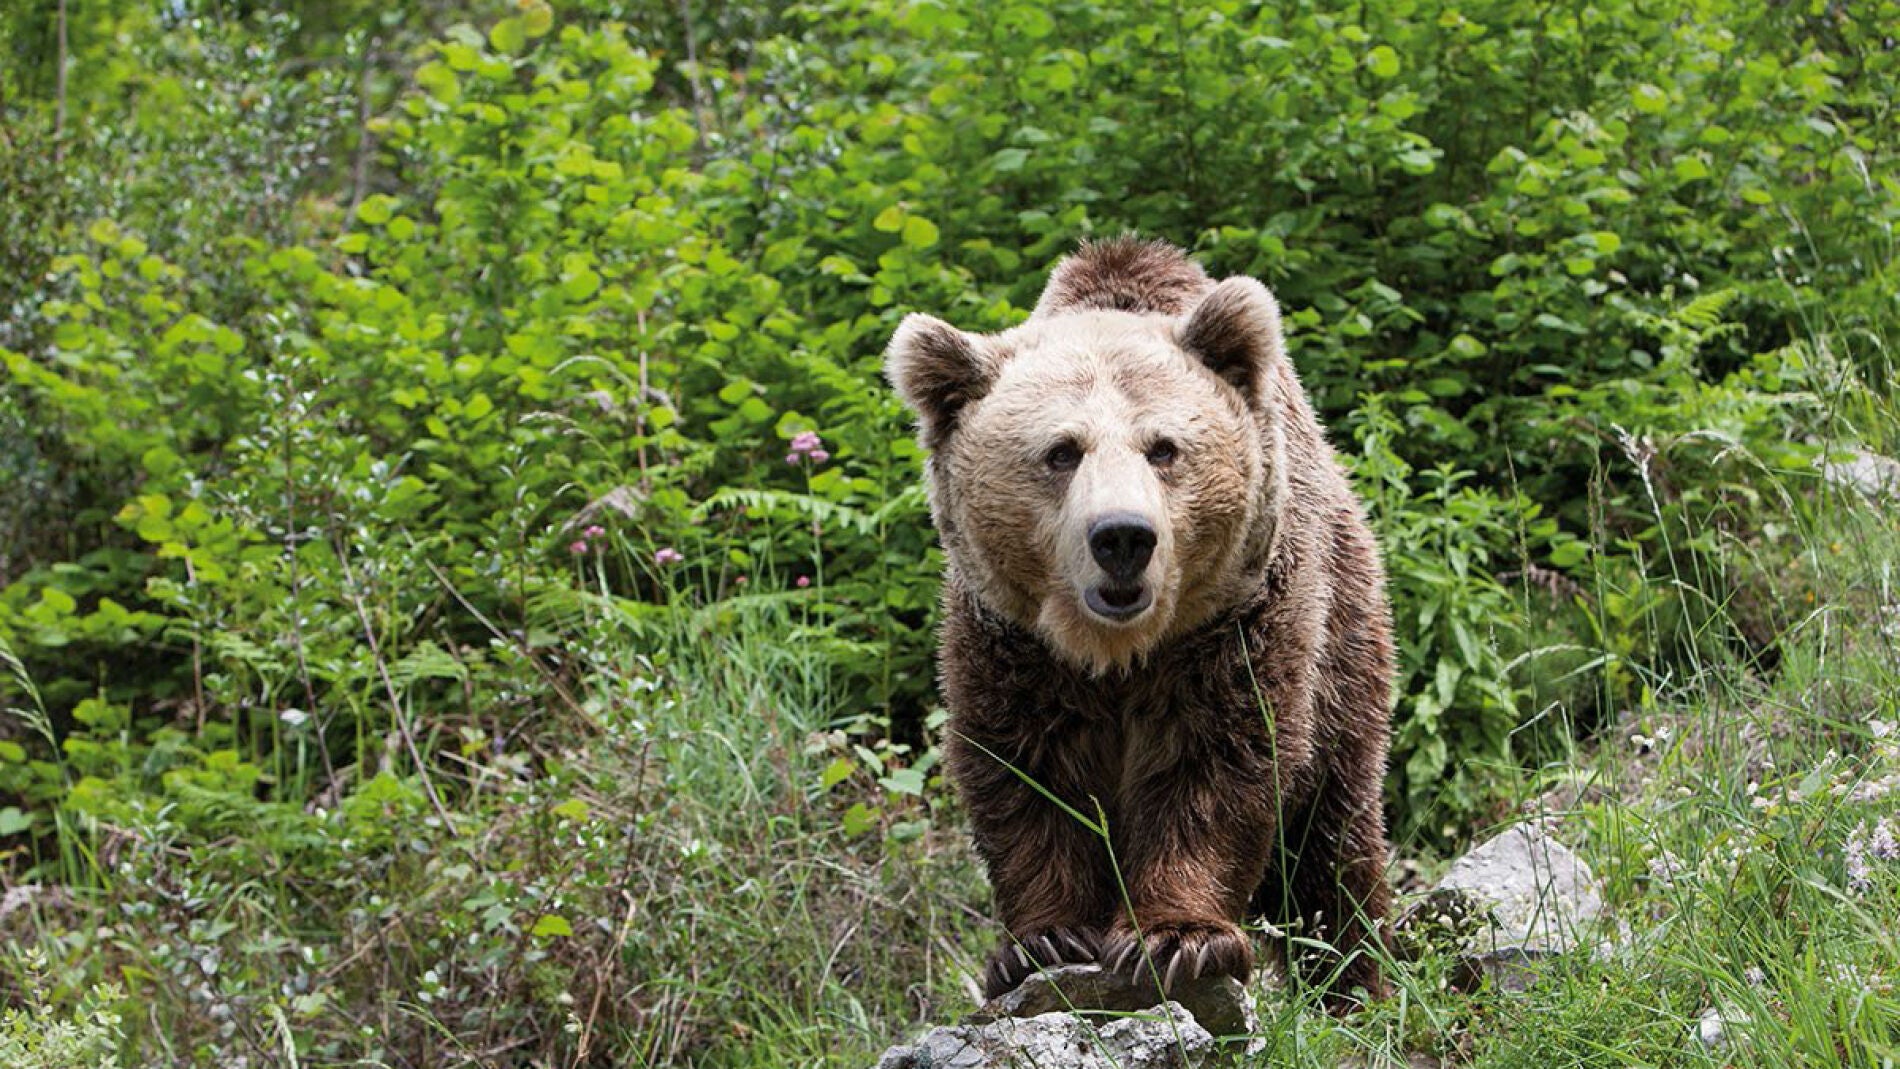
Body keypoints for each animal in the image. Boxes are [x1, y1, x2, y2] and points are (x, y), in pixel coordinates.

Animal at [884, 237, 1395, 1011]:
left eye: (1164, 447)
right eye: (1061, 450)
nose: (1123, 536)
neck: (1118, 651)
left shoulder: (1237, 623)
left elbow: (1220, 762)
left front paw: (1178, 936)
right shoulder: (1010, 642)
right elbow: (1026, 775)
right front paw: (1043, 941)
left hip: (1347, 635)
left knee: (1331, 843)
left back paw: (1353, 982)